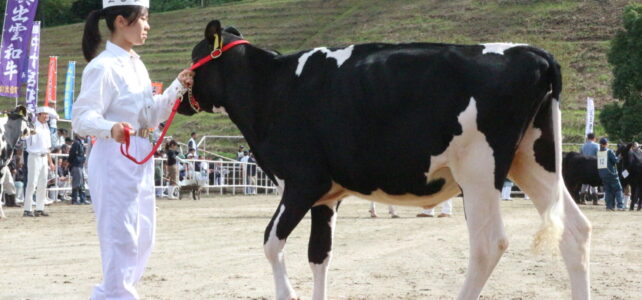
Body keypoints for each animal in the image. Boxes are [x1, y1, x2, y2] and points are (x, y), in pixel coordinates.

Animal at [178, 19, 592, 298]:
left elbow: (270, 243)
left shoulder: (302, 182)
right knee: (574, 230)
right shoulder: (327, 195)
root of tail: (532, 52)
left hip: (479, 169)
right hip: (535, 161)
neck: (272, 87)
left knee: (488, 244)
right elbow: (319, 255)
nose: (177, 97)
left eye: (195, 56)